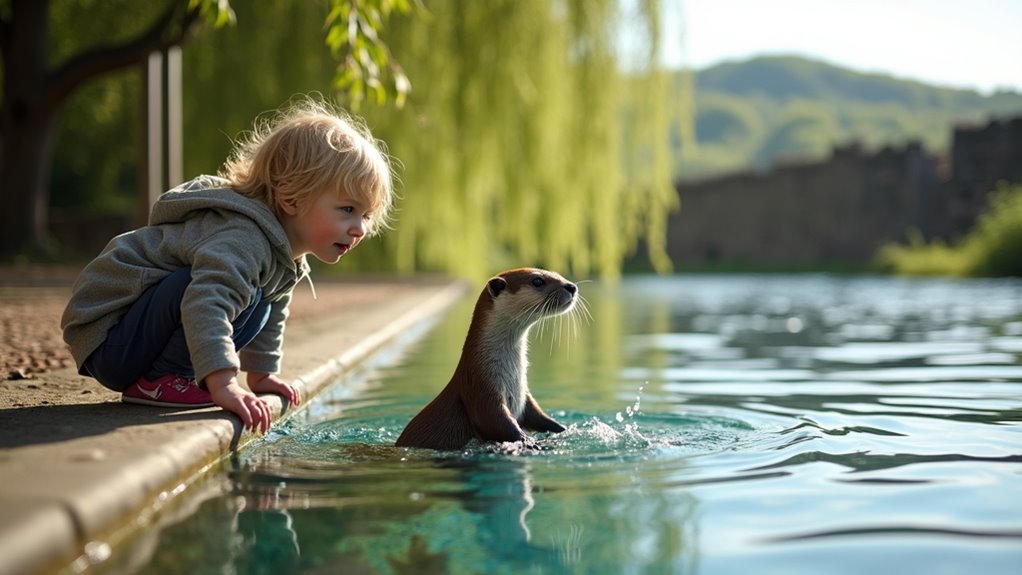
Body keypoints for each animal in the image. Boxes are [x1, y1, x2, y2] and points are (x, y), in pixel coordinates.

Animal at [396, 268, 579, 450]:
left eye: (556, 273)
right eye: (538, 281)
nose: (571, 287)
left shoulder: (523, 397)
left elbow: (536, 415)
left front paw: (563, 429)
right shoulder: (480, 389)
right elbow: (495, 422)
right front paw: (530, 443)